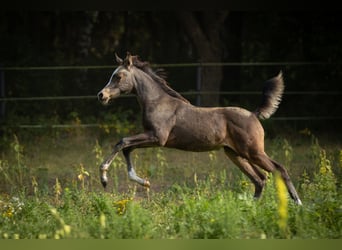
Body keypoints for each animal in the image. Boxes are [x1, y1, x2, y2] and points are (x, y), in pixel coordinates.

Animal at [97, 52, 302, 205]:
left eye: (118, 76)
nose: (101, 95)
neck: (157, 102)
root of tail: (253, 114)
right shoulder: (151, 138)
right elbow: (127, 148)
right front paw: (144, 182)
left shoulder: (157, 137)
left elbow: (122, 142)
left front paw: (104, 178)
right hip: (235, 154)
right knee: (260, 179)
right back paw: (251, 207)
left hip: (254, 152)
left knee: (279, 169)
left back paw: (298, 204)